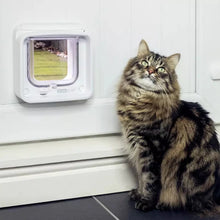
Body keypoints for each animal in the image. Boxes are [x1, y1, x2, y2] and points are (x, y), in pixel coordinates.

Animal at [117, 39, 220, 213]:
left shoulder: (152, 149)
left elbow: (150, 180)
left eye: (161, 69)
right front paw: (139, 193)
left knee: (189, 203)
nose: (151, 70)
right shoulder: (137, 149)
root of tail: (214, 195)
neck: (140, 100)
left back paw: (164, 204)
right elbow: (141, 177)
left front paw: (147, 202)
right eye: (145, 62)